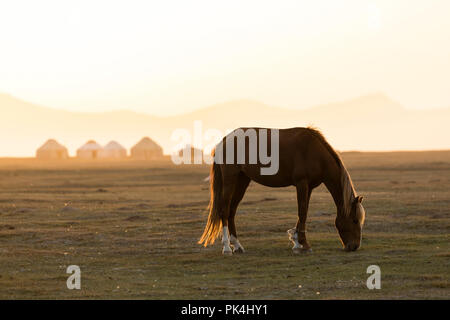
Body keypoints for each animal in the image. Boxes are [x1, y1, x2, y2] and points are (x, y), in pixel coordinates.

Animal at [199, 127, 364, 255]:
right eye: (355, 220)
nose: (354, 246)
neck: (315, 152)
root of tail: (224, 140)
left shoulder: (309, 187)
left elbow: (303, 212)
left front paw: (297, 243)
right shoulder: (301, 184)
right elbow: (302, 212)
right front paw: (304, 244)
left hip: (242, 180)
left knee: (232, 211)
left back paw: (237, 245)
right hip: (230, 179)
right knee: (225, 210)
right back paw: (227, 247)